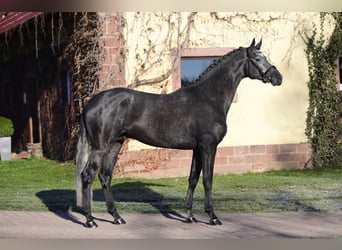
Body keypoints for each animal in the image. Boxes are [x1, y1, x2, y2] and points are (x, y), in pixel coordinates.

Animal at [76, 38, 282, 228]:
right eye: (257, 58)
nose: (277, 77)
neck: (209, 98)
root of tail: (90, 103)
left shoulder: (197, 148)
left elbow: (193, 178)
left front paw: (190, 216)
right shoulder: (208, 147)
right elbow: (207, 179)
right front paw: (212, 217)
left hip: (115, 144)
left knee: (105, 176)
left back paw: (116, 217)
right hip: (100, 147)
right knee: (88, 175)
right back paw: (89, 220)